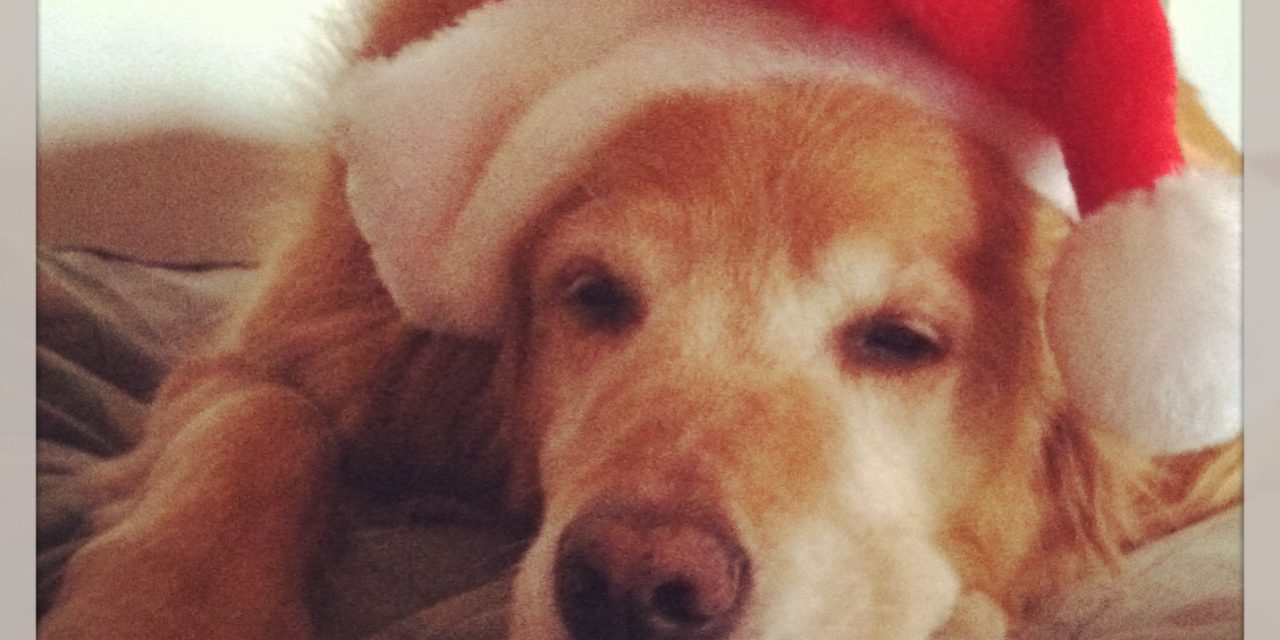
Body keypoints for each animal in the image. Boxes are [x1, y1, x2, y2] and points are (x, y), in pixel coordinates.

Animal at [38, 0, 1242, 638]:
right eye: (593, 296)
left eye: (902, 340)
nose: (635, 587)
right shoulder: (291, 338)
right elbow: (259, 426)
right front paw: (162, 605)